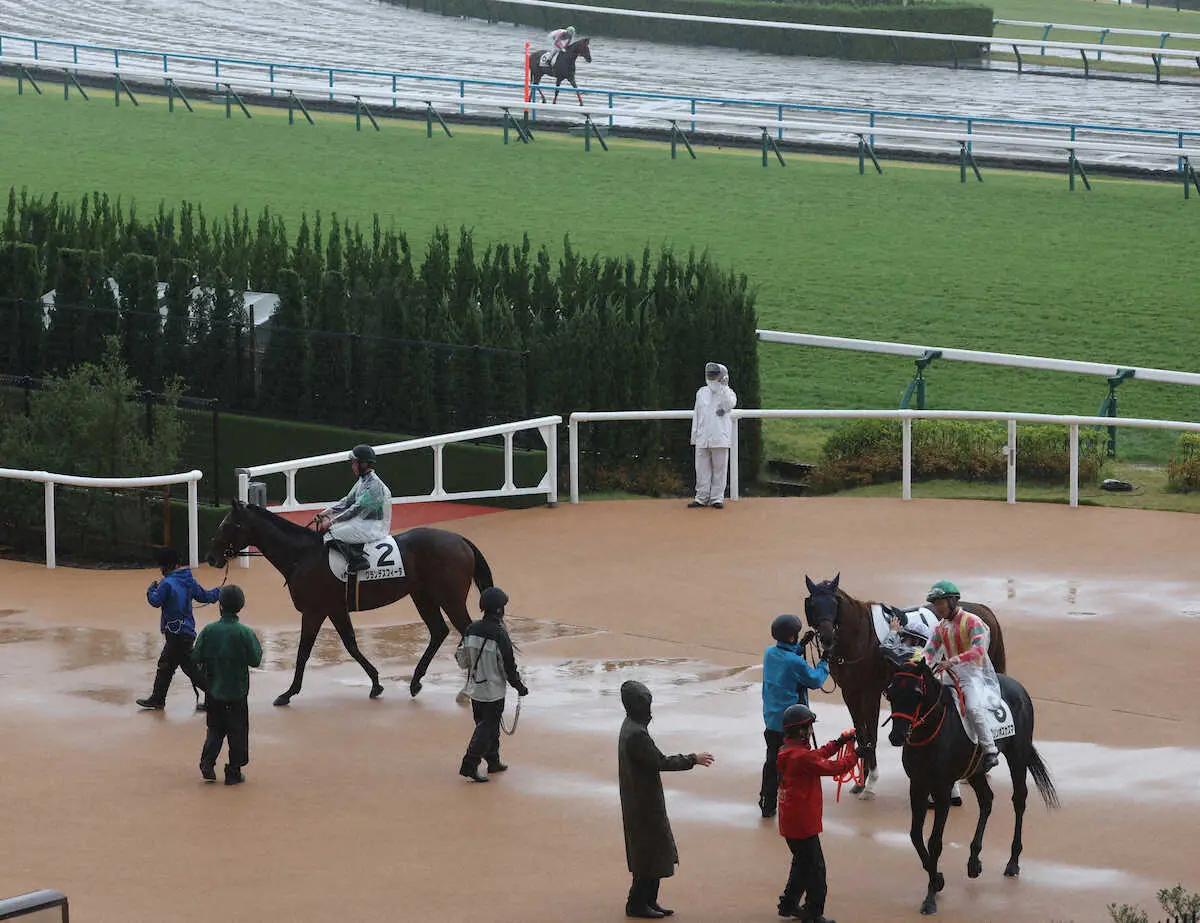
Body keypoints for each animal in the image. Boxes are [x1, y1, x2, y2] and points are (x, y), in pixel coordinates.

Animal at [206, 504, 492, 705]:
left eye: (228, 524)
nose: (211, 558)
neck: (303, 556)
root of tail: (460, 540)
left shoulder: (315, 611)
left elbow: (303, 652)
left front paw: (288, 693)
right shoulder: (335, 609)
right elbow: (351, 644)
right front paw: (376, 683)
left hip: (450, 598)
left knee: (468, 631)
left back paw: (465, 691)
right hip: (422, 596)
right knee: (438, 631)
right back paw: (415, 682)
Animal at [801, 576, 1008, 796]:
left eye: (834, 603)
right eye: (813, 605)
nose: (827, 637)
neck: (861, 637)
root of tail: (984, 610)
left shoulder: (870, 693)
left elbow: (871, 735)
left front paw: (871, 782)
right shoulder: (850, 692)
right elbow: (861, 734)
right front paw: (861, 782)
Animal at [883, 657, 1060, 912]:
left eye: (917, 693)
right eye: (890, 693)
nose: (896, 736)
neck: (932, 732)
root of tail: (1018, 687)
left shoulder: (943, 789)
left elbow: (934, 841)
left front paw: (930, 898)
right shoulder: (917, 785)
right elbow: (915, 836)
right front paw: (938, 880)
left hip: (1017, 755)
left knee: (1019, 800)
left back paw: (1013, 862)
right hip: (976, 770)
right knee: (987, 800)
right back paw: (974, 862)